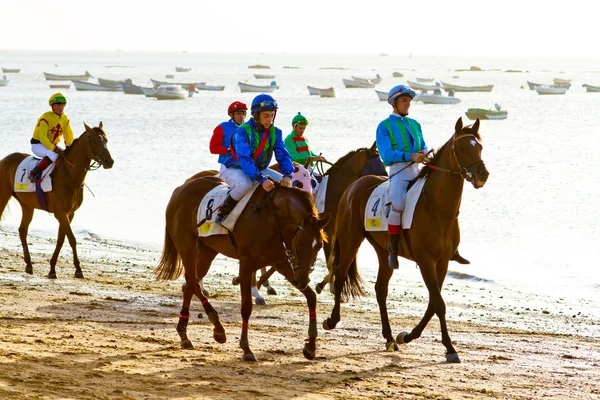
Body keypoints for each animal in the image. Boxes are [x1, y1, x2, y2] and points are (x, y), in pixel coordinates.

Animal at [0, 122, 115, 278]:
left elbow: (61, 239)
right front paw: (78, 269)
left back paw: (29, 265)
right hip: (3, 195)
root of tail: (5, 159)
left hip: (27, 205)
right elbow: (72, 239)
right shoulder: (60, 212)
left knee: (23, 230)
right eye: (95, 141)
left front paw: (52, 269)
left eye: (106, 140)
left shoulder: (69, 213)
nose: (109, 162)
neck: (69, 176)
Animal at [152, 177, 330, 360]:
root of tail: (180, 188)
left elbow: (311, 297)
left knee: (190, 283)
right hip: (187, 246)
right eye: (299, 243)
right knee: (193, 282)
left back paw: (184, 333)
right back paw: (218, 328)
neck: (272, 219)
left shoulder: (281, 262)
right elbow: (246, 307)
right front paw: (246, 348)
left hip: (207, 250)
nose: (302, 280)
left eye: (320, 246)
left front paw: (311, 346)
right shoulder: (246, 262)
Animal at [324, 116, 488, 362]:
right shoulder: (426, 261)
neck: (437, 207)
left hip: (383, 250)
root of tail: (354, 185)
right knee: (341, 275)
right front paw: (449, 348)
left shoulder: (442, 262)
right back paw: (332, 320)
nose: (482, 174)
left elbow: (434, 303)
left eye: (479, 146)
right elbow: (438, 303)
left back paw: (390, 337)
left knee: (380, 288)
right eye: (460, 148)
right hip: (350, 240)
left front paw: (407, 336)